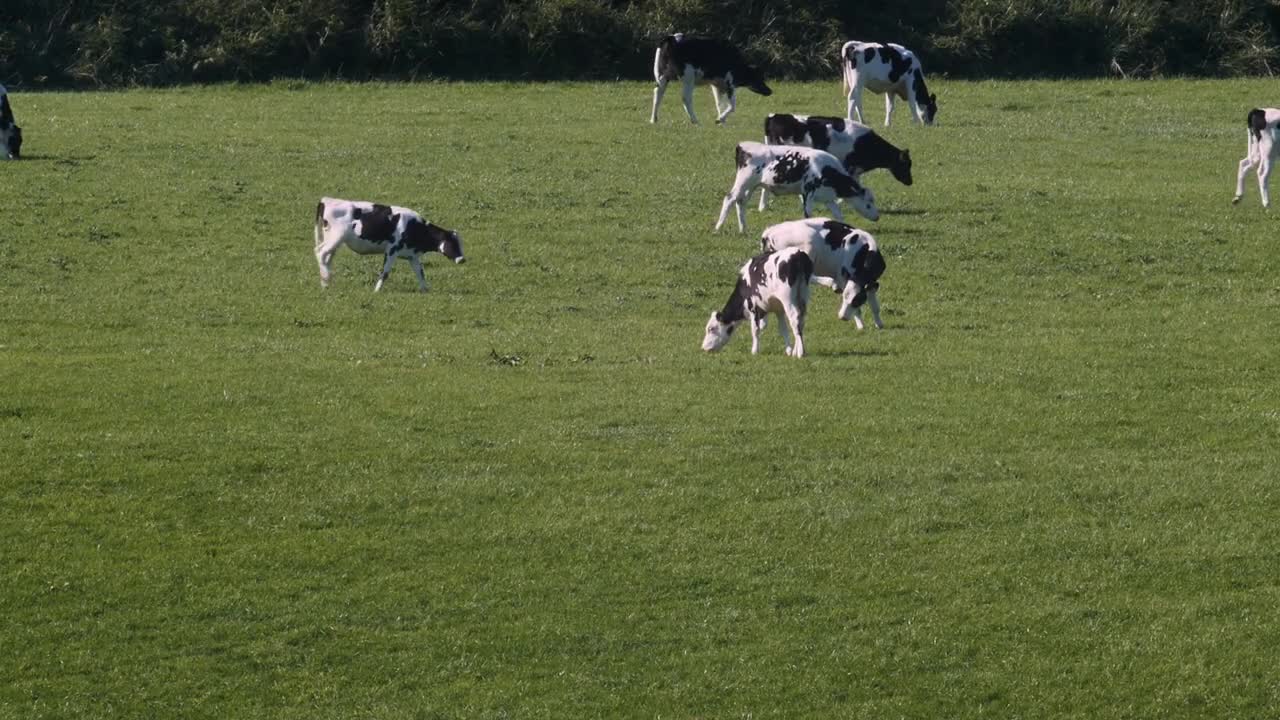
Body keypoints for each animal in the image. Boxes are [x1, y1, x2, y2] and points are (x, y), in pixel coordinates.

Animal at [311, 196, 465, 292]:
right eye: (452, 243)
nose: (462, 259)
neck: (415, 226)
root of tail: (327, 200)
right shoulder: (392, 250)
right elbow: (385, 272)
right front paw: (376, 290)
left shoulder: (412, 255)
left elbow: (420, 272)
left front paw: (425, 290)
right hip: (336, 238)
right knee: (320, 253)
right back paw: (325, 281)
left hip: (332, 240)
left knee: (326, 257)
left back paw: (326, 281)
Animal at [711, 143, 880, 235]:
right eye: (868, 204)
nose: (877, 217)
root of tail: (743, 146)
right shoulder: (808, 192)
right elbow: (808, 214)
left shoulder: (828, 197)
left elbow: (838, 215)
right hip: (743, 182)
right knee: (729, 199)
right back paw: (718, 227)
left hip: (751, 187)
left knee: (741, 203)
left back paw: (743, 229)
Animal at [752, 217, 885, 330]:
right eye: (845, 298)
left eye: (857, 300)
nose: (842, 317)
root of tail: (769, 232)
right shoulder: (844, 277)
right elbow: (858, 310)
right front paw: (861, 326)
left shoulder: (870, 284)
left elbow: (875, 306)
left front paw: (879, 324)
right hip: (807, 249)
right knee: (809, 275)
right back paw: (831, 283)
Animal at [757, 110, 911, 208]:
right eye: (905, 165)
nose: (910, 182)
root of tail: (773, 116)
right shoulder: (848, 166)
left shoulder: (855, 169)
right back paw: (764, 206)